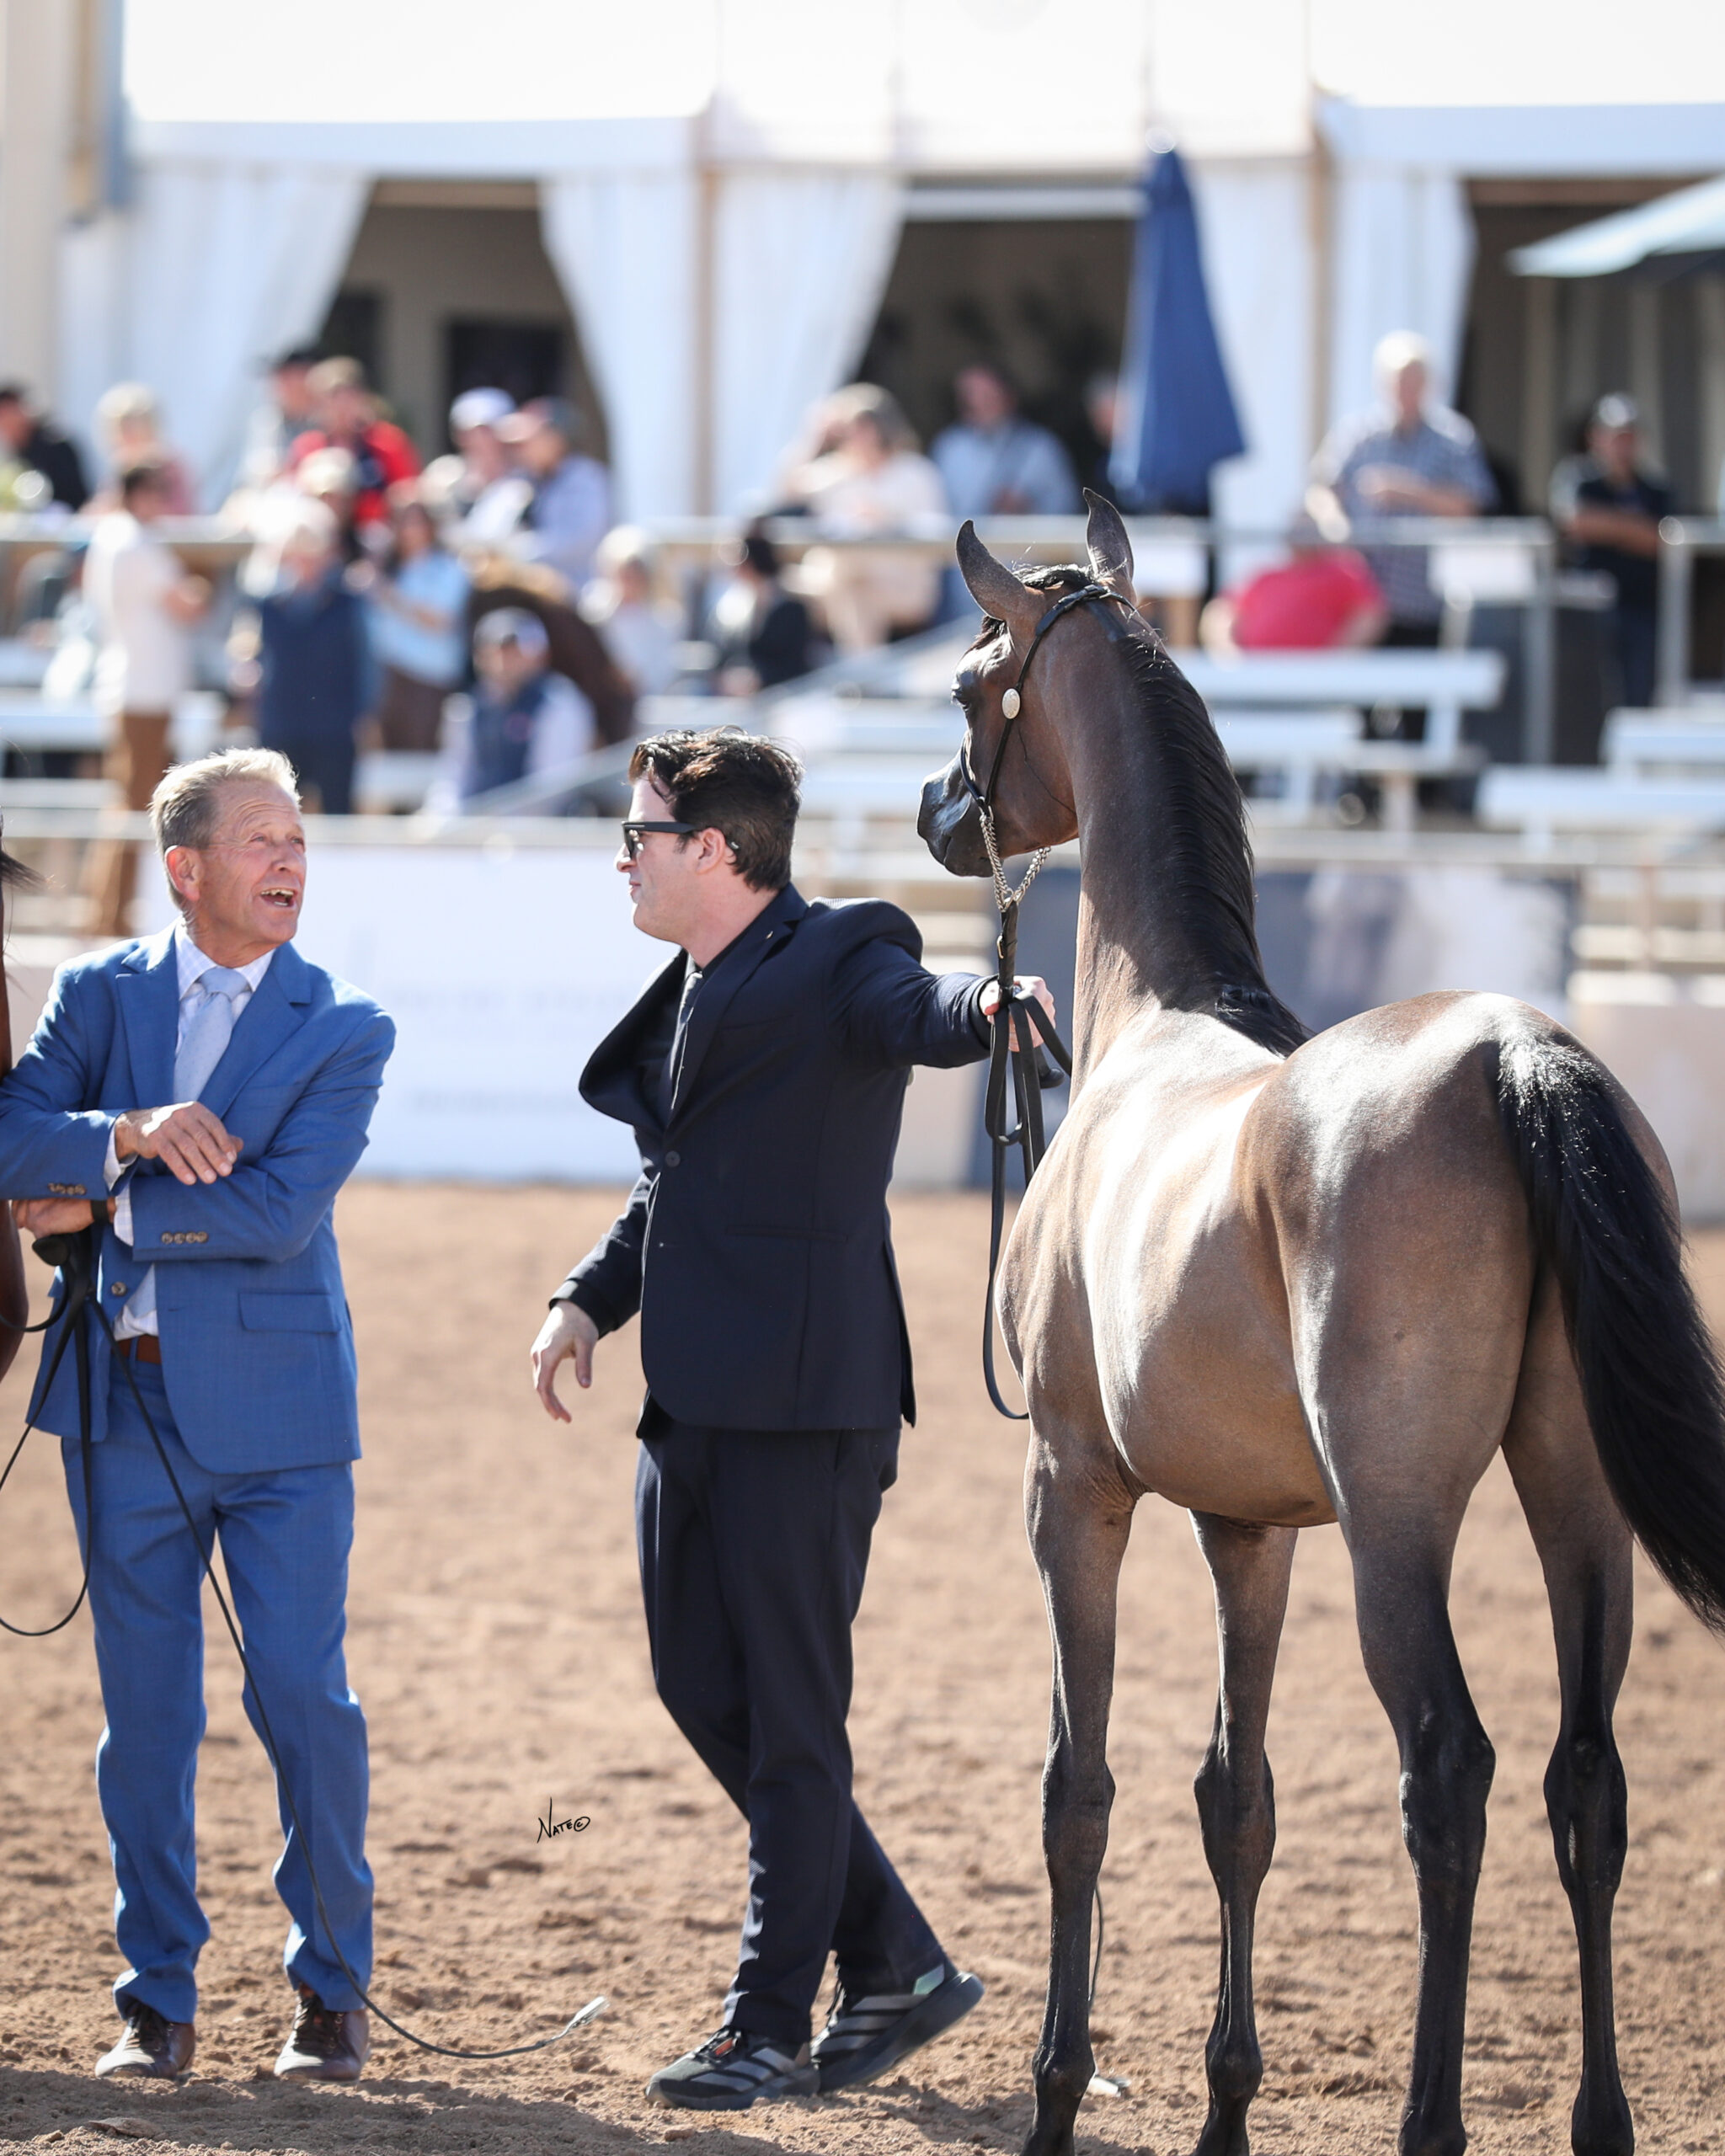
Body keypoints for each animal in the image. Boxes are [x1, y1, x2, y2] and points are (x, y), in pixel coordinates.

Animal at [917, 494, 1725, 2156]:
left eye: (971, 683)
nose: (931, 810)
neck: (1158, 1020)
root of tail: (1516, 1056)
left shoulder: (1072, 1492)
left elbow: (1077, 1790)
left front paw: (1053, 2095)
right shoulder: (1251, 1531)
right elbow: (1239, 1799)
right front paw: (1227, 2108)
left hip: (1398, 1526)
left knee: (1450, 1775)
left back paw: (1431, 2119)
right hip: (1574, 1506)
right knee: (1585, 1782)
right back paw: (1598, 2120)